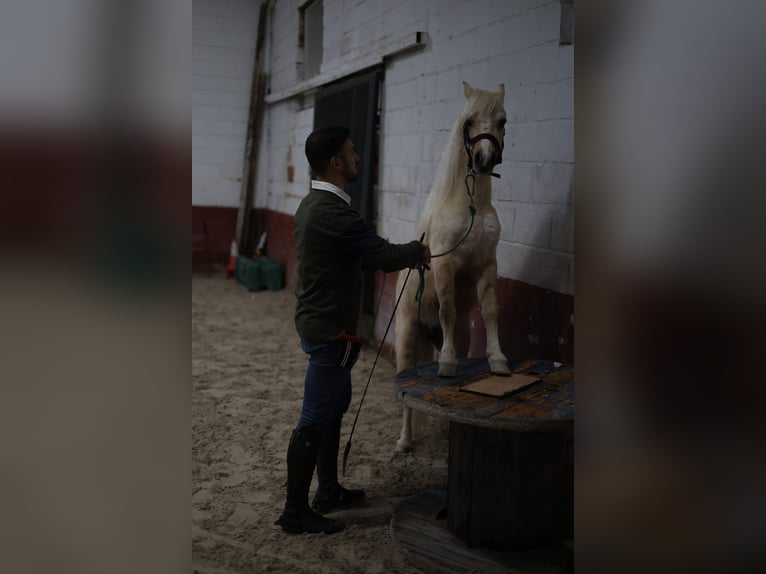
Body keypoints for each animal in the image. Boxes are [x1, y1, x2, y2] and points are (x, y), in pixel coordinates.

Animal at [394, 81, 510, 453]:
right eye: (470, 121)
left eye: (502, 121)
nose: (484, 160)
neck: (471, 206)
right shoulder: (445, 265)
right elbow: (447, 308)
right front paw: (446, 365)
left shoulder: (487, 265)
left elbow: (491, 312)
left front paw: (498, 361)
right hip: (406, 341)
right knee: (405, 396)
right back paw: (404, 441)